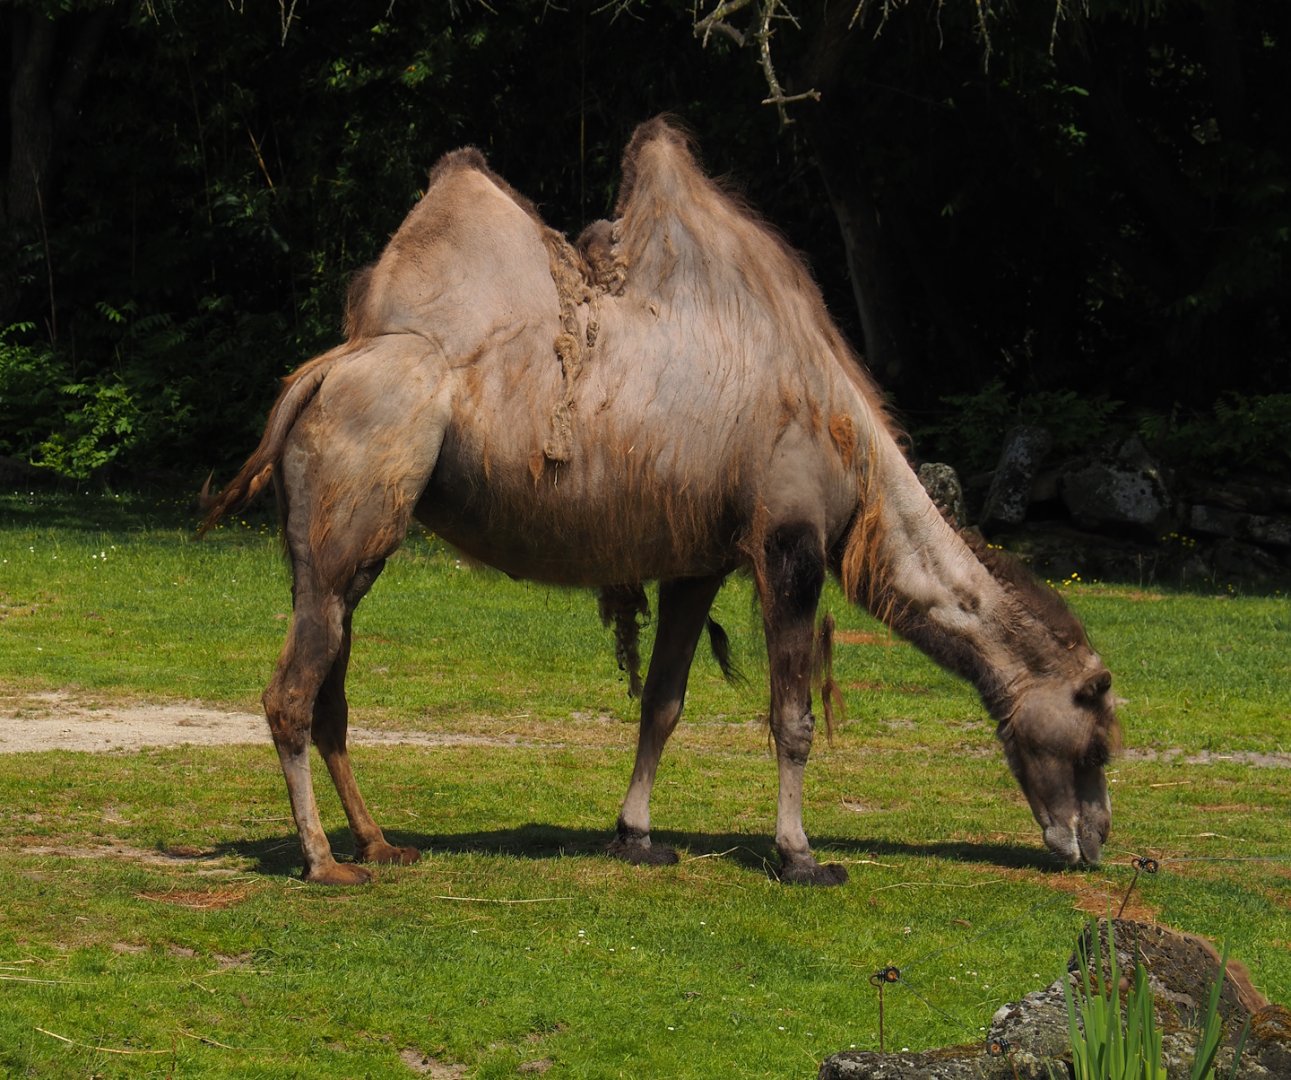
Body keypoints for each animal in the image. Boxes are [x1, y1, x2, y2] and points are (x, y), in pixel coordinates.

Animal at [202, 118, 1118, 886]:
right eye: (1097, 736)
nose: (1092, 842)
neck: (854, 457)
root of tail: (320, 372)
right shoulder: (788, 540)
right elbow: (790, 716)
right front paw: (800, 857)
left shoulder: (698, 560)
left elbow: (663, 704)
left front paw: (637, 836)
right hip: (354, 512)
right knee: (291, 693)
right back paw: (324, 862)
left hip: (340, 548)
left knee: (329, 688)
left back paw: (380, 843)